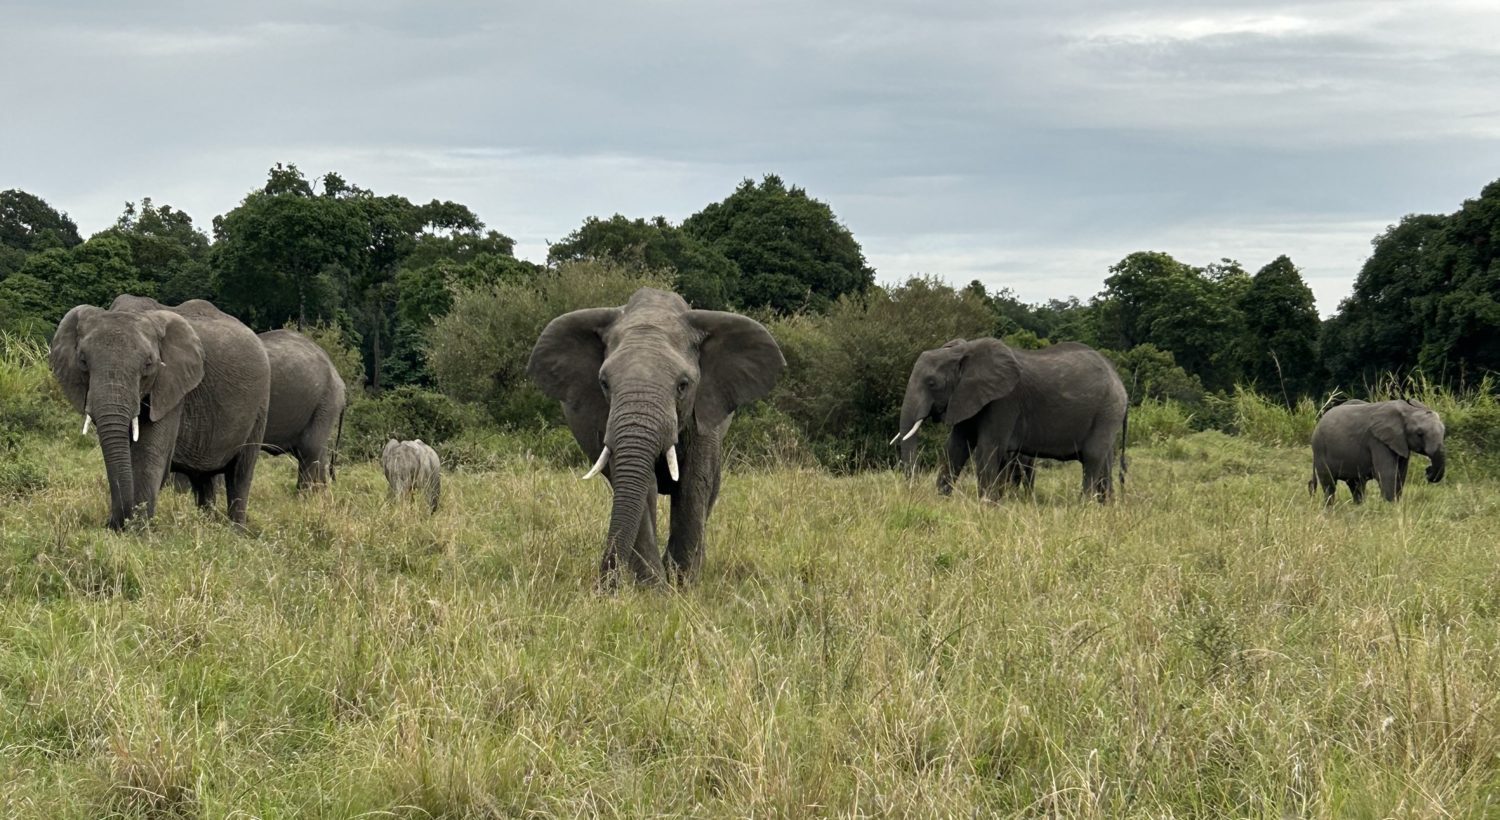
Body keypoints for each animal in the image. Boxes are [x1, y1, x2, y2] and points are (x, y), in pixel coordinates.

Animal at [528, 286, 786, 587]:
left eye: (683, 386)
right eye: (604, 383)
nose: (604, 585)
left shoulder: (705, 411)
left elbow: (694, 483)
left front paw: (682, 585)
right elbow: (640, 486)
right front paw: (654, 589)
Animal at [1308, 398, 1446, 503]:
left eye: (1444, 431)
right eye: (1419, 434)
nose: (1428, 471)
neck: (1408, 410)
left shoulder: (1401, 443)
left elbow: (1400, 475)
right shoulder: (1377, 441)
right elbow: (1387, 474)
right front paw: (1390, 508)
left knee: (1356, 485)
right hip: (1320, 450)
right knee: (1329, 485)